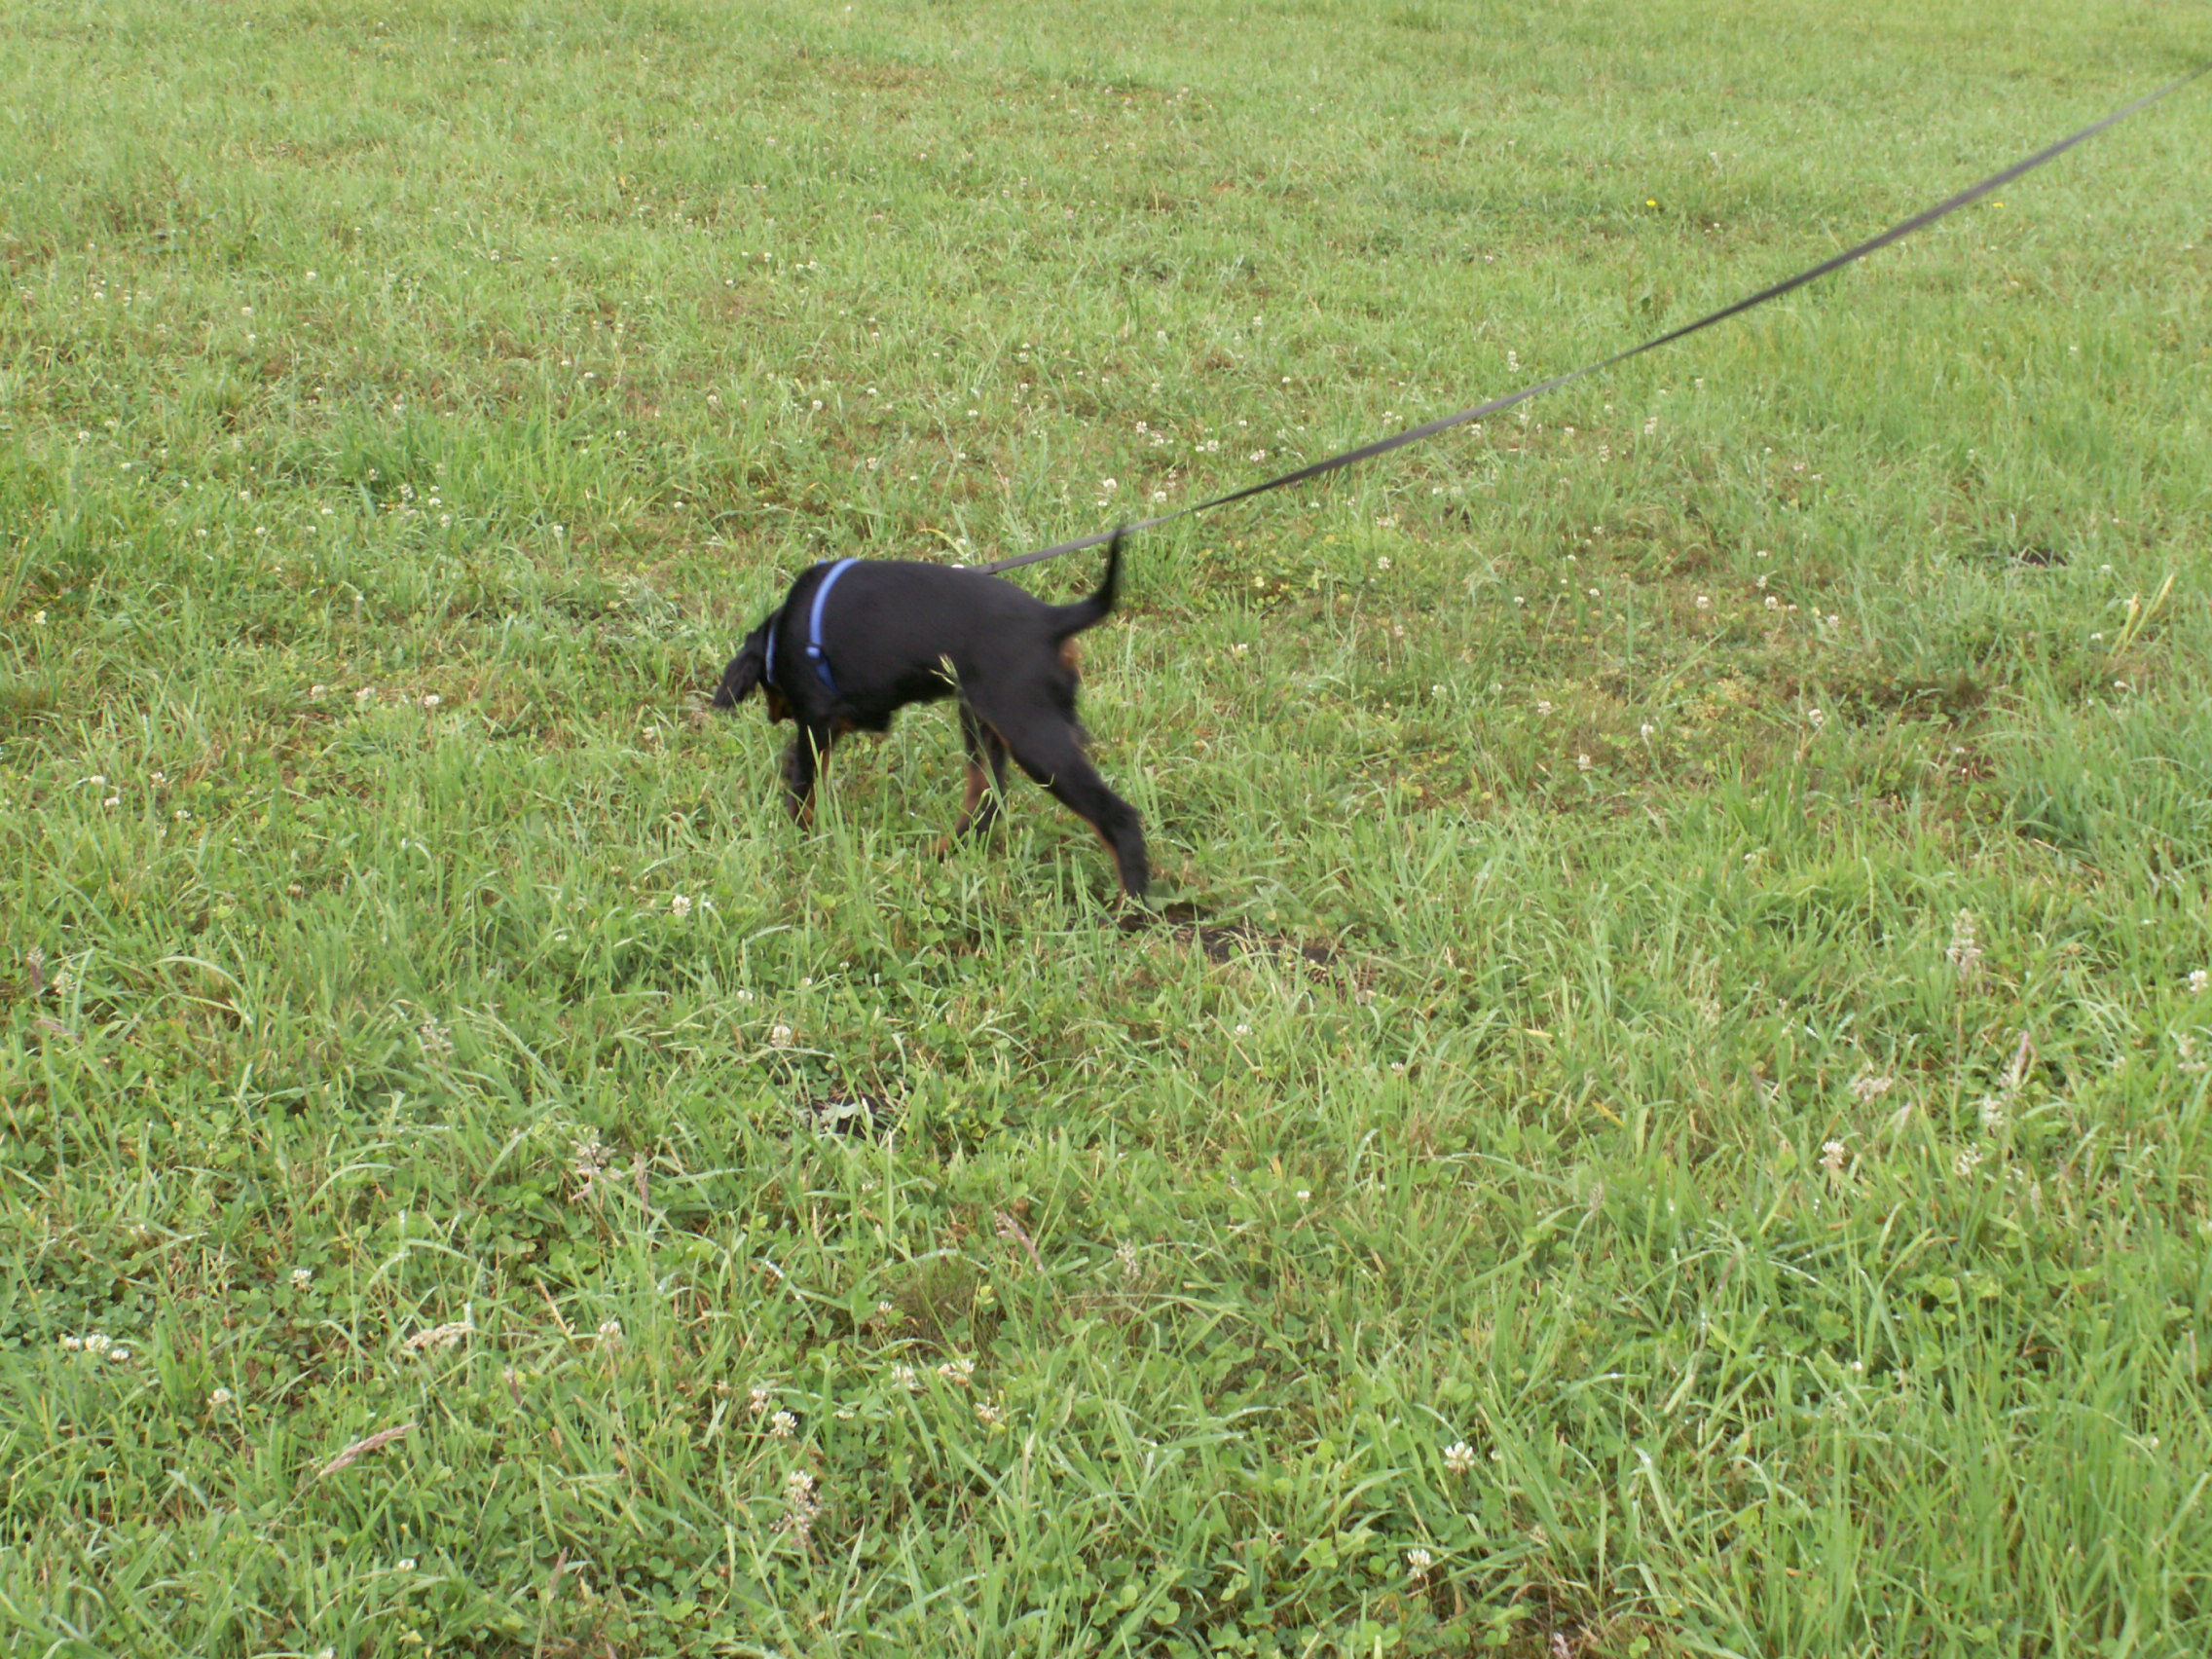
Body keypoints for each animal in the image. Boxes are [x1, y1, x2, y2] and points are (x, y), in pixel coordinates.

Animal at [711, 533, 1148, 898]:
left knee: (1117, 816)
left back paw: (1132, 907)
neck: (785, 630)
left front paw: (800, 838)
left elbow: (804, 785)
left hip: (1030, 731)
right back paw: (941, 852)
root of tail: (1051, 620)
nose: (774, 716)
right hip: (982, 718)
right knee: (985, 799)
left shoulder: (817, 716)